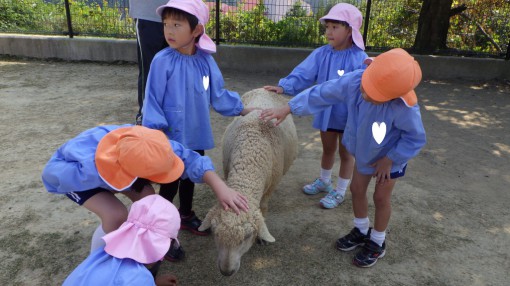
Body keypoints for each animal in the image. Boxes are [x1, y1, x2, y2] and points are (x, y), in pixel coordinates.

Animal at [197, 88, 296, 276]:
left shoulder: (270, 186)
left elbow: (263, 207)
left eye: (247, 236)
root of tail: (264, 88)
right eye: (214, 233)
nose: (226, 272)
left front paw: (262, 238)